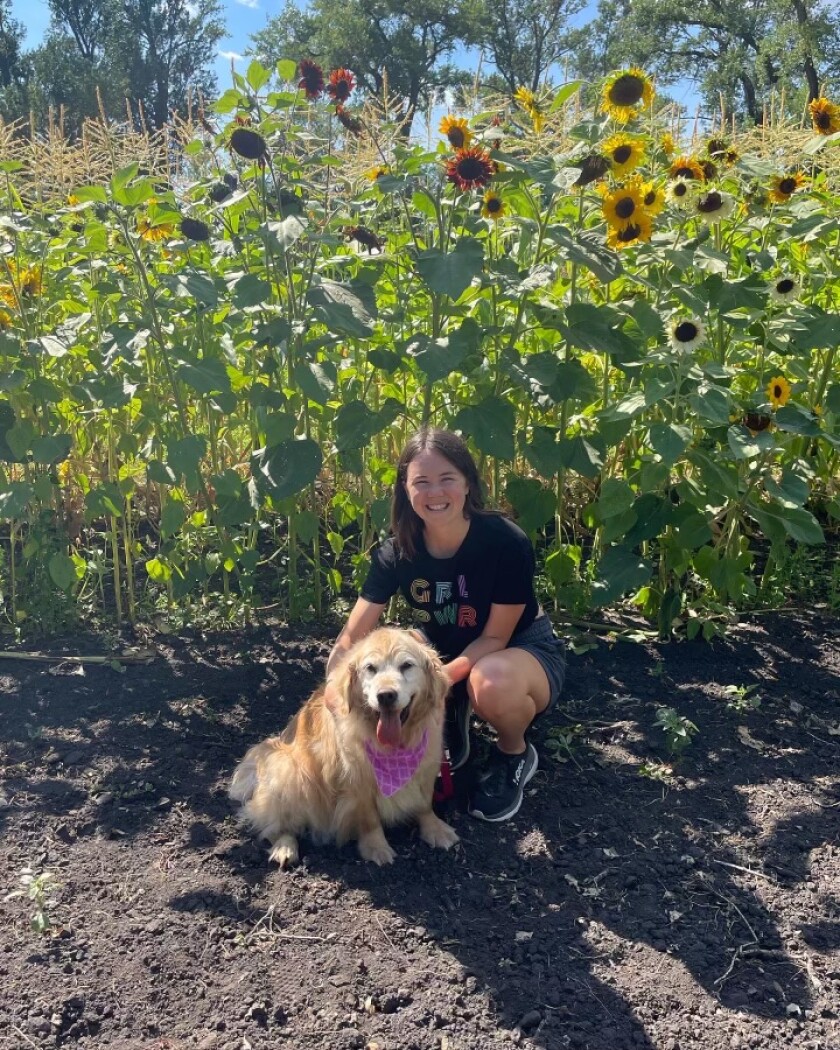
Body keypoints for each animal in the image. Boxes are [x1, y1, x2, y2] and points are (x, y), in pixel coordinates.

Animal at [229, 625, 459, 865]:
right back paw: (285, 847)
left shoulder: (428, 766)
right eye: (370, 668)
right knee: (275, 824)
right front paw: (376, 847)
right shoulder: (357, 779)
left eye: (406, 665)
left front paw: (435, 829)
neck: (394, 747)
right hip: (289, 771)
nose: (385, 695)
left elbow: (424, 804)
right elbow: (370, 819)